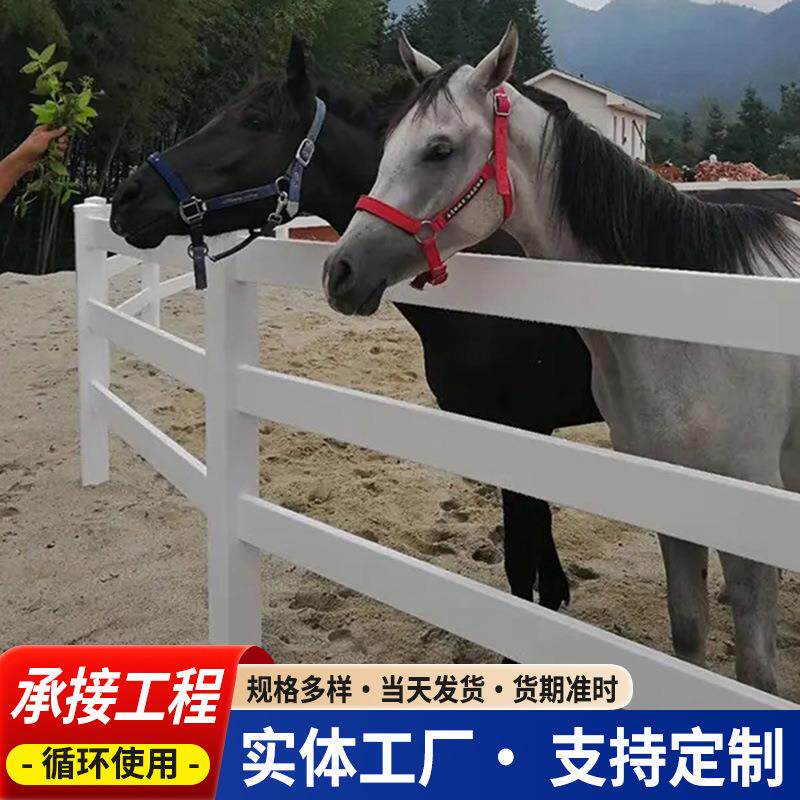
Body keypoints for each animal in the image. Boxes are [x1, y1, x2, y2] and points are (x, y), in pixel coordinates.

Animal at [322, 24, 800, 694]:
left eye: (439, 150)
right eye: (386, 143)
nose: (340, 271)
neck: (687, 317)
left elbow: (755, 673)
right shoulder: (673, 506)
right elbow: (687, 635)